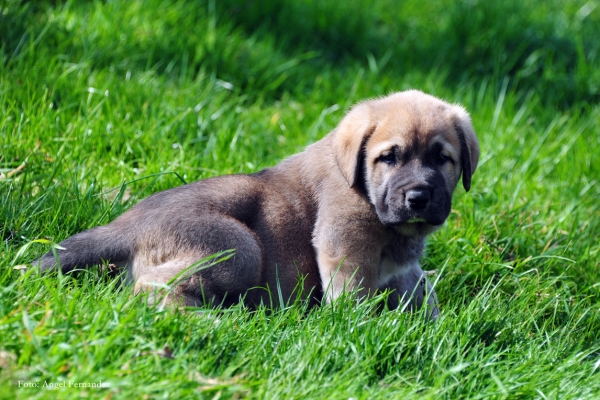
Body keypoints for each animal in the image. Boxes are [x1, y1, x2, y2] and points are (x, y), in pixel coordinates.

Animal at [36, 90, 478, 316]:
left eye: (442, 158)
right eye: (389, 157)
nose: (418, 197)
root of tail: (127, 226)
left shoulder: (403, 269)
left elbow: (419, 288)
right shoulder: (345, 239)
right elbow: (354, 293)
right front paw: (356, 326)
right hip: (238, 247)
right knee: (153, 287)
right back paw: (212, 320)